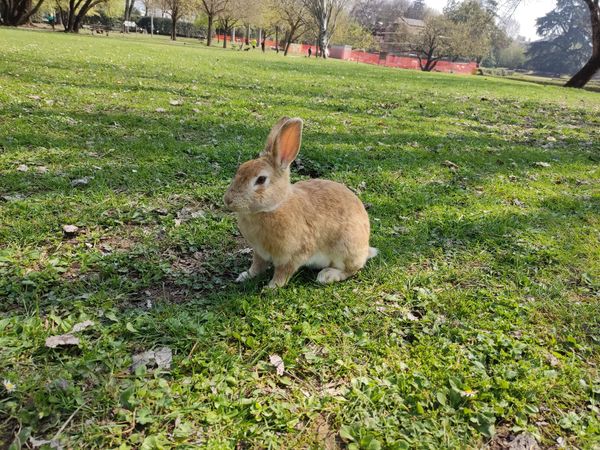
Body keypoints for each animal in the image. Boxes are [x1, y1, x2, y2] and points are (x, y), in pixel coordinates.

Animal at [223, 117, 378, 288]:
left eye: (261, 179)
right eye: (240, 169)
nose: (228, 200)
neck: (274, 207)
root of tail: (365, 247)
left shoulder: (293, 255)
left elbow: (283, 273)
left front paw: (271, 287)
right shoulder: (259, 252)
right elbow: (256, 266)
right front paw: (245, 276)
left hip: (345, 249)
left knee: (352, 269)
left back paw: (327, 275)